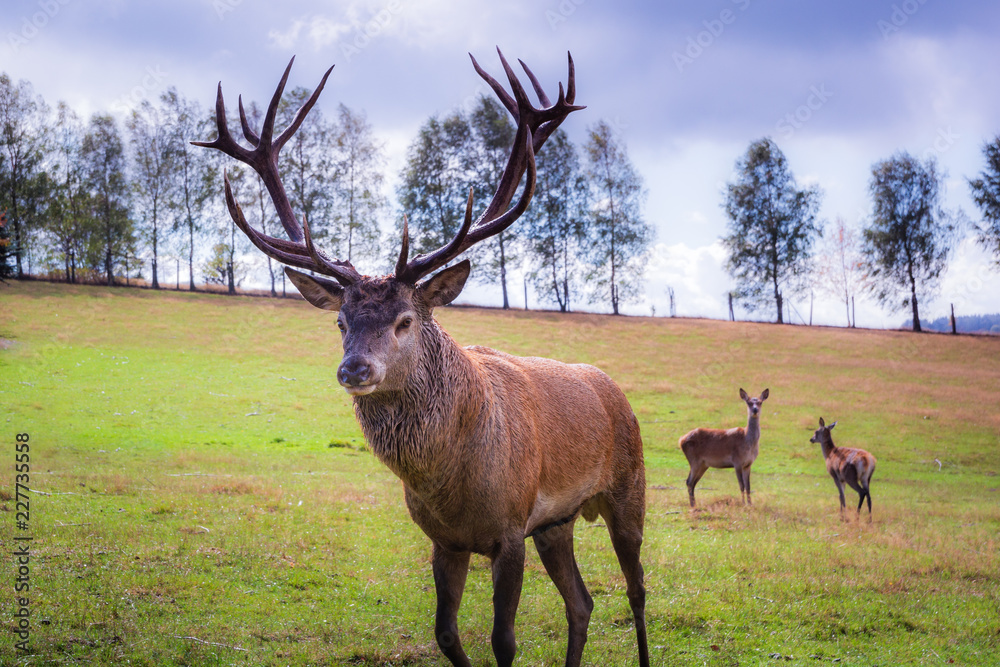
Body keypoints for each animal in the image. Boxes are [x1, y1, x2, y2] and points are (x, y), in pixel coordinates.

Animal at [194, 52, 649, 667]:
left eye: (404, 320)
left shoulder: (511, 530)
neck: (452, 485)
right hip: (558, 524)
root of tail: (613, 389)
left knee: (636, 590)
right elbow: (446, 634)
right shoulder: (446, 540)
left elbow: (503, 641)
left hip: (629, 489)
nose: (354, 369)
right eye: (341, 322)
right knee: (582, 603)